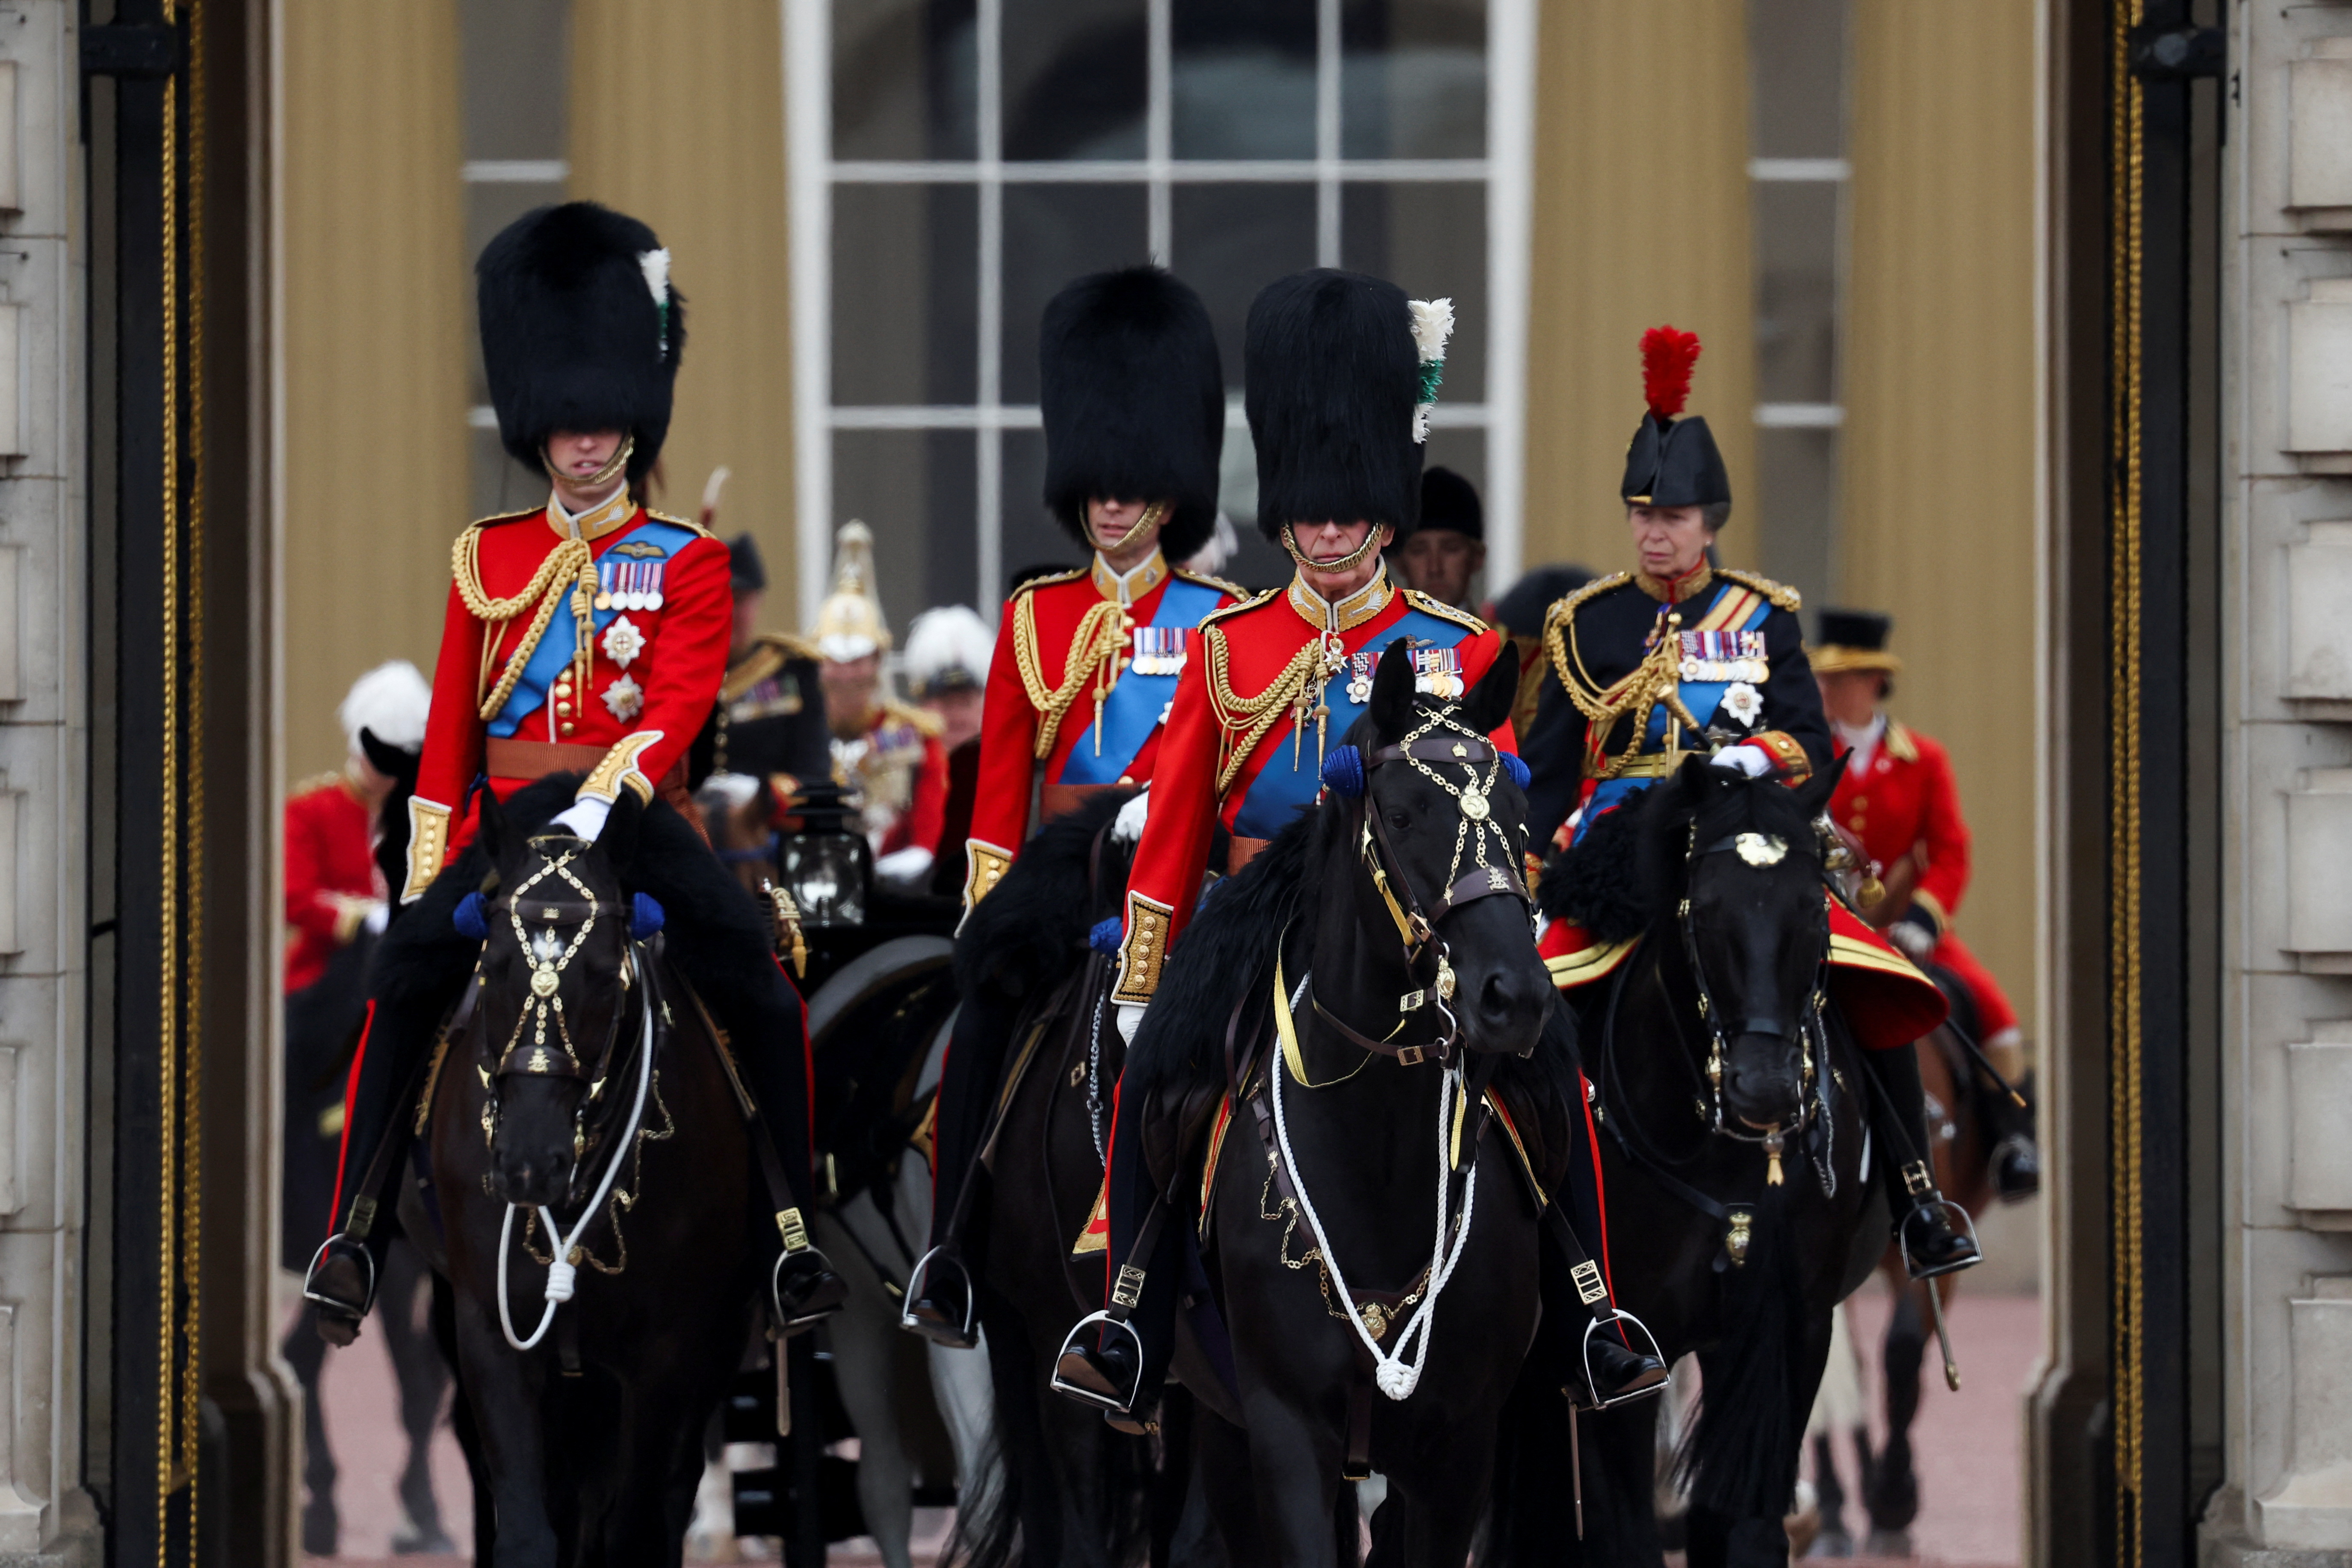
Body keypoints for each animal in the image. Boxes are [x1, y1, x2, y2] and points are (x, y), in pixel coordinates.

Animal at [400, 785, 767, 1568]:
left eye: (604, 973)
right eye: (493, 966)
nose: (528, 1164)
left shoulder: (669, 1353)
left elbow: (638, 1528)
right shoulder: (491, 1332)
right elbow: (531, 1530)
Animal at [1486, 762, 1891, 1568]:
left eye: (1813, 906)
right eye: (1704, 910)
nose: (1765, 1088)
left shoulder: (1788, 1327)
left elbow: (1742, 1524)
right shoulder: (1624, 1348)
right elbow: (1627, 1534)